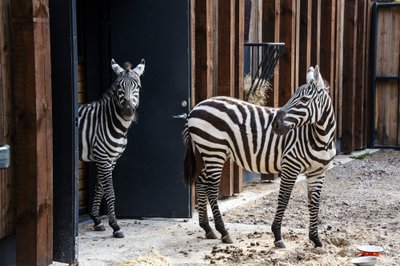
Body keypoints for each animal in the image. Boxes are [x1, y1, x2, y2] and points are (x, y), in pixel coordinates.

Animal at [78, 57, 145, 237]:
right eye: (119, 86)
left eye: (138, 86)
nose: (128, 110)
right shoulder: (103, 157)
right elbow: (110, 192)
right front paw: (115, 226)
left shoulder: (112, 159)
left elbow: (100, 188)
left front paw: (96, 220)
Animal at [183, 66, 336, 247]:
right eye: (293, 96)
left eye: (305, 99)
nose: (275, 124)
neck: (320, 139)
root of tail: (196, 107)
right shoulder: (290, 165)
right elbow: (283, 198)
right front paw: (277, 235)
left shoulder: (318, 172)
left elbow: (314, 203)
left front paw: (316, 240)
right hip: (214, 150)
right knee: (211, 188)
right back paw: (224, 232)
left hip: (213, 152)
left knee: (201, 181)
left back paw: (208, 228)